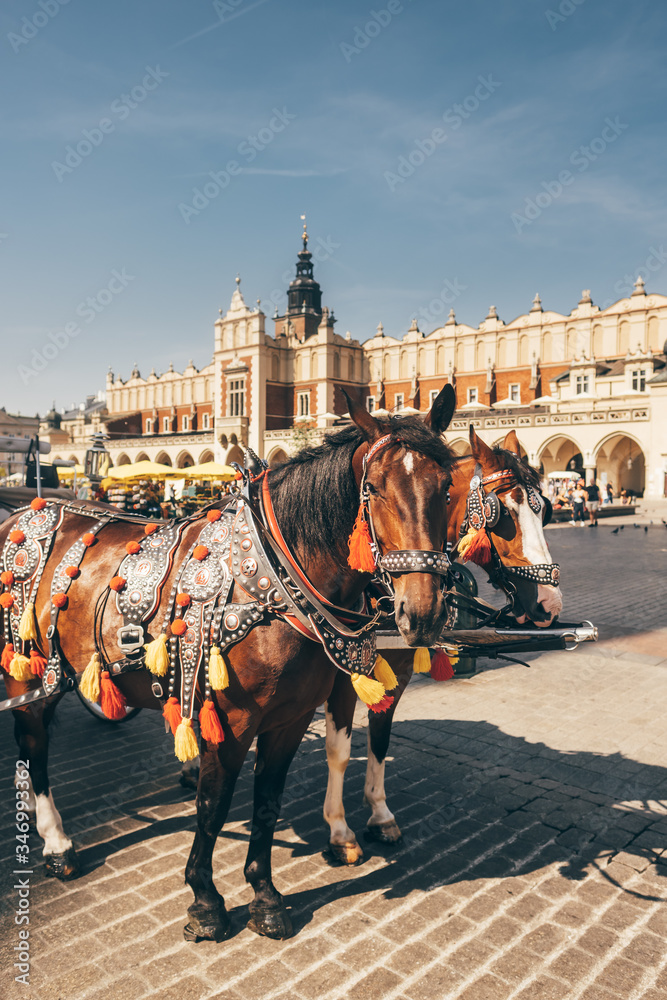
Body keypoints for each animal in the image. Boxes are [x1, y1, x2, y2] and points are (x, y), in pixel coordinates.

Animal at [1, 385, 457, 941]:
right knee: (33, 742)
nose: (424, 612)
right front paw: (205, 902)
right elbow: (213, 806)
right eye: (371, 489)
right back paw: (56, 842)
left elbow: (267, 803)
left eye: (448, 487)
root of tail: (20, 512)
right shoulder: (230, 719)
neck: (276, 582)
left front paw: (265, 896)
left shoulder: (291, 717)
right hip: (30, 670)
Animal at [322, 423, 563, 864]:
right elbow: (339, 750)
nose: (550, 605)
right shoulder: (342, 678)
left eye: (546, 511)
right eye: (503, 514)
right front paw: (339, 829)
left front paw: (379, 813)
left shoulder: (397, 675)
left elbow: (380, 741)